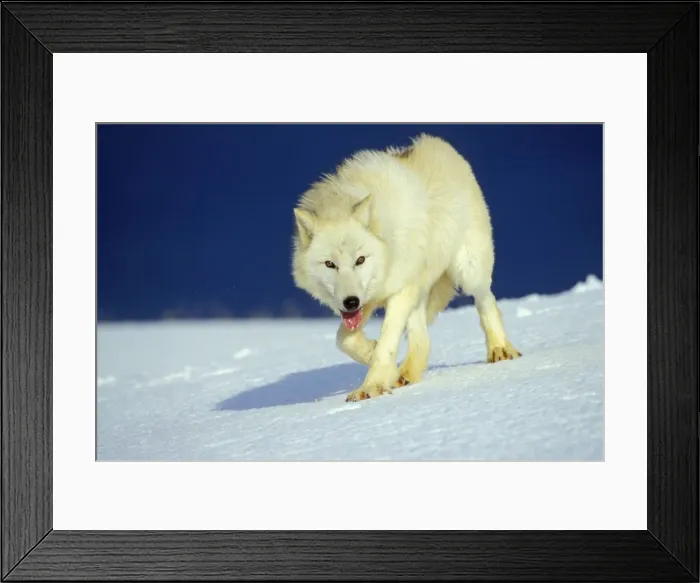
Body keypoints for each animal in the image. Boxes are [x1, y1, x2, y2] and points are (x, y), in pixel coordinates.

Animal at [291, 133, 521, 402]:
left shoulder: (399, 292)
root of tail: (437, 142)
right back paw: (405, 375)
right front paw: (372, 355)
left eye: (360, 260)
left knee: (487, 302)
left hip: (468, 271)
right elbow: (343, 338)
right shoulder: (368, 301)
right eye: (330, 264)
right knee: (422, 340)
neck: (387, 241)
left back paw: (500, 349)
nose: (350, 302)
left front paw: (371, 386)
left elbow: (386, 343)